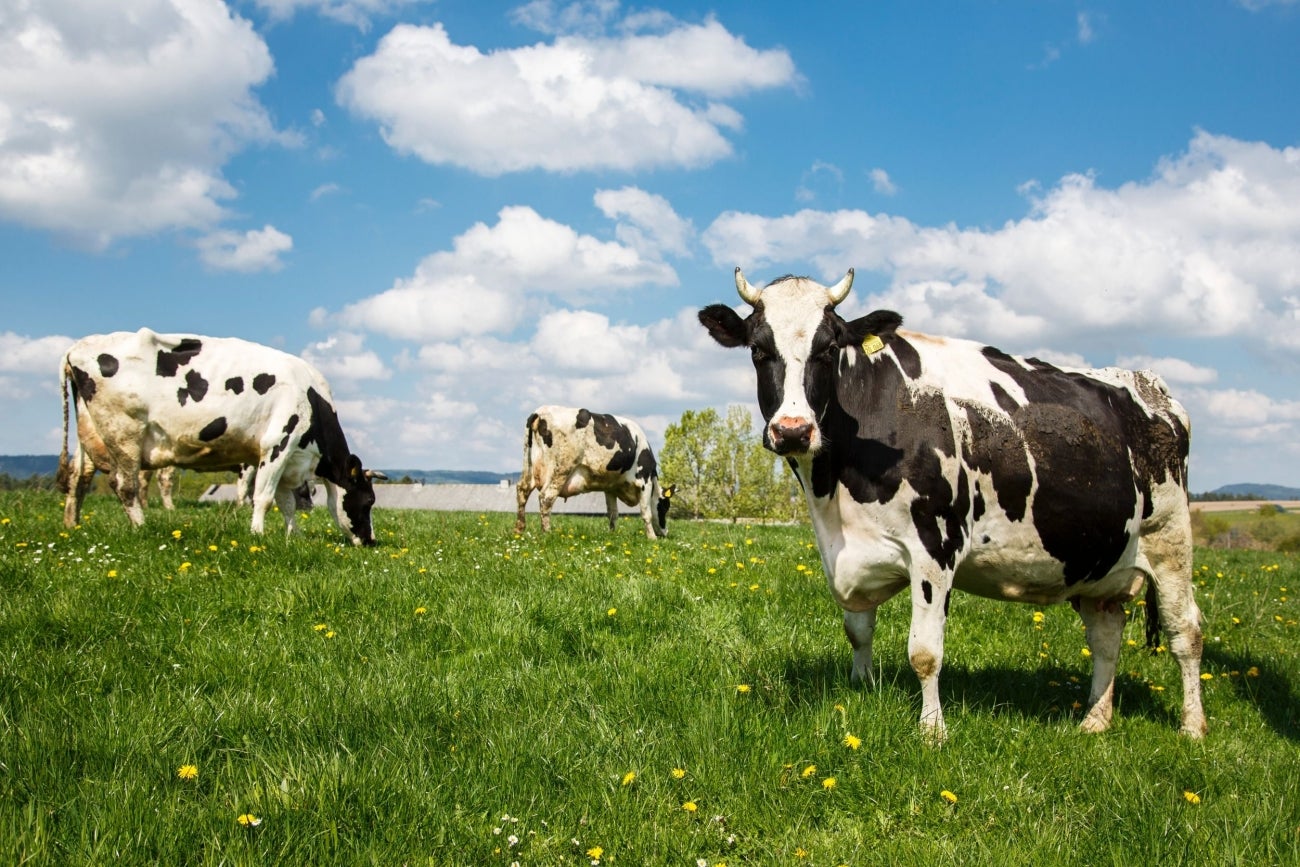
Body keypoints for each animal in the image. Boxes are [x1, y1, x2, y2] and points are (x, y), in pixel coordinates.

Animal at [58, 328, 382, 546]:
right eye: (368, 500)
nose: (370, 540)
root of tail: (75, 349)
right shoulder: (276, 444)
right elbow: (262, 497)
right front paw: (257, 535)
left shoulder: (288, 458)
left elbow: (286, 502)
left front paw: (294, 537)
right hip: (124, 432)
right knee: (124, 484)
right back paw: (141, 528)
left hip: (90, 433)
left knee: (78, 477)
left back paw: (72, 525)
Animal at [514, 406, 674, 540]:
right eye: (665, 506)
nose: (665, 532)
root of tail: (540, 412)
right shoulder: (645, 481)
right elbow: (646, 513)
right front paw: (651, 538)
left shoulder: (610, 487)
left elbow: (613, 513)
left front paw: (612, 534)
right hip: (561, 470)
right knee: (546, 498)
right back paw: (547, 533)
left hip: (529, 466)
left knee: (522, 491)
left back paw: (519, 529)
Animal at [698, 268, 1205, 741]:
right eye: (758, 350)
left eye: (828, 349)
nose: (793, 431)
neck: (834, 490)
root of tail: (1149, 385)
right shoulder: (850, 550)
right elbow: (858, 631)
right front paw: (861, 688)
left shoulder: (935, 544)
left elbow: (924, 652)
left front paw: (932, 731)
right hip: (1095, 561)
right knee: (1106, 637)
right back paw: (1095, 721)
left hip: (1170, 541)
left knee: (1187, 632)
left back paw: (1192, 726)